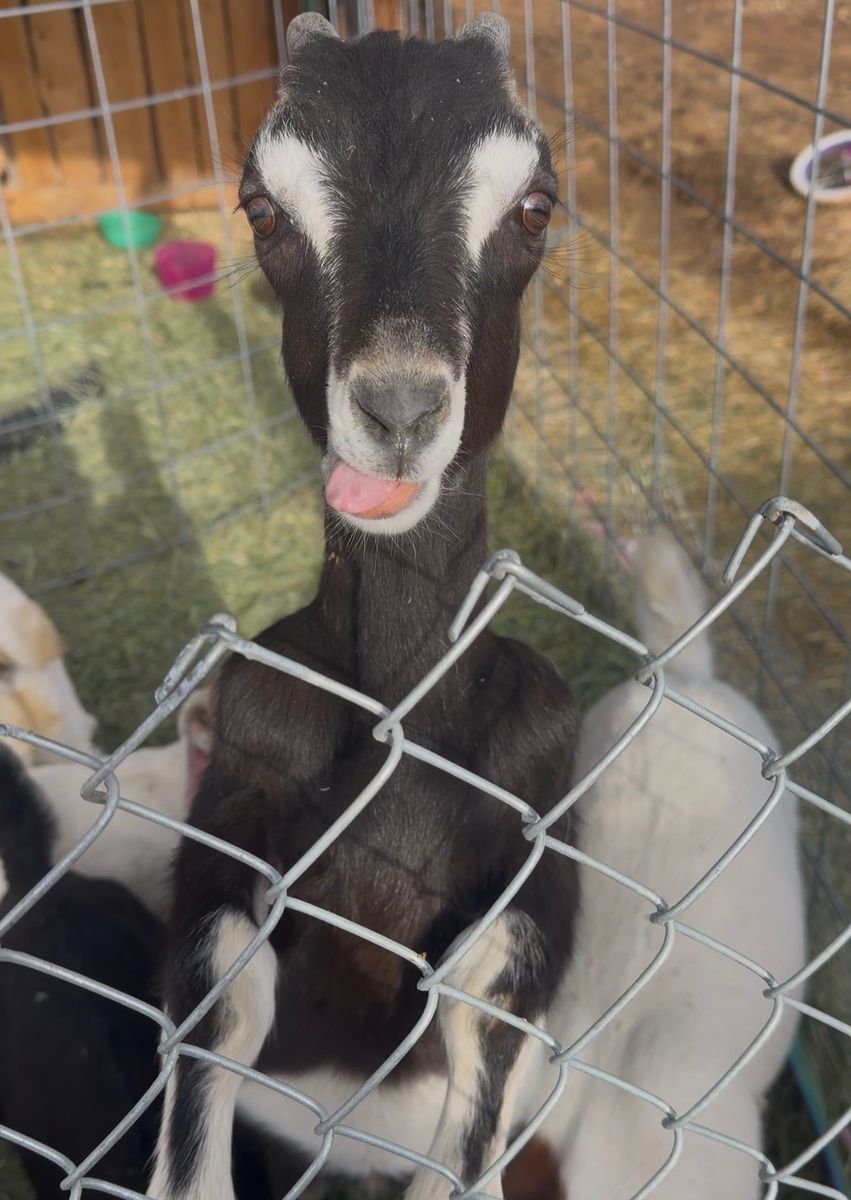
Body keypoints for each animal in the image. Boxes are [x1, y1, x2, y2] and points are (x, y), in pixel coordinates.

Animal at [151, 15, 579, 1200]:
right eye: (261, 207)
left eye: (536, 205)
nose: (396, 408)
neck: (402, 719)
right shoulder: (239, 781)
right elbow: (218, 983)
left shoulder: (549, 807)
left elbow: (496, 986)